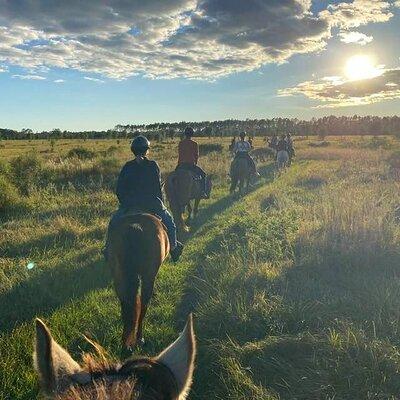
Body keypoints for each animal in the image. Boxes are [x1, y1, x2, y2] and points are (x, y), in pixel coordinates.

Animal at [106, 214, 169, 348]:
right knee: (143, 306)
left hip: (119, 278)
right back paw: (139, 338)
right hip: (148, 277)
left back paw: (126, 342)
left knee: (126, 306)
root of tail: (136, 227)